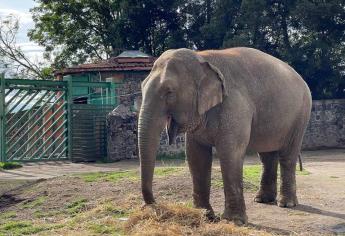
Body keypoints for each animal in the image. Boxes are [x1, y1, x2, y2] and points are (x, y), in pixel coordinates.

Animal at [138, 46, 312, 225]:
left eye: (169, 91)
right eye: (142, 87)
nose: (154, 207)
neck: (202, 57)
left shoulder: (234, 106)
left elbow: (230, 153)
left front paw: (233, 221)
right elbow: (196, 156)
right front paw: (205, 216)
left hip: (301, 115)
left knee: (288, 155)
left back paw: (286, 204)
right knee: (267, 156)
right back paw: (262, 200)